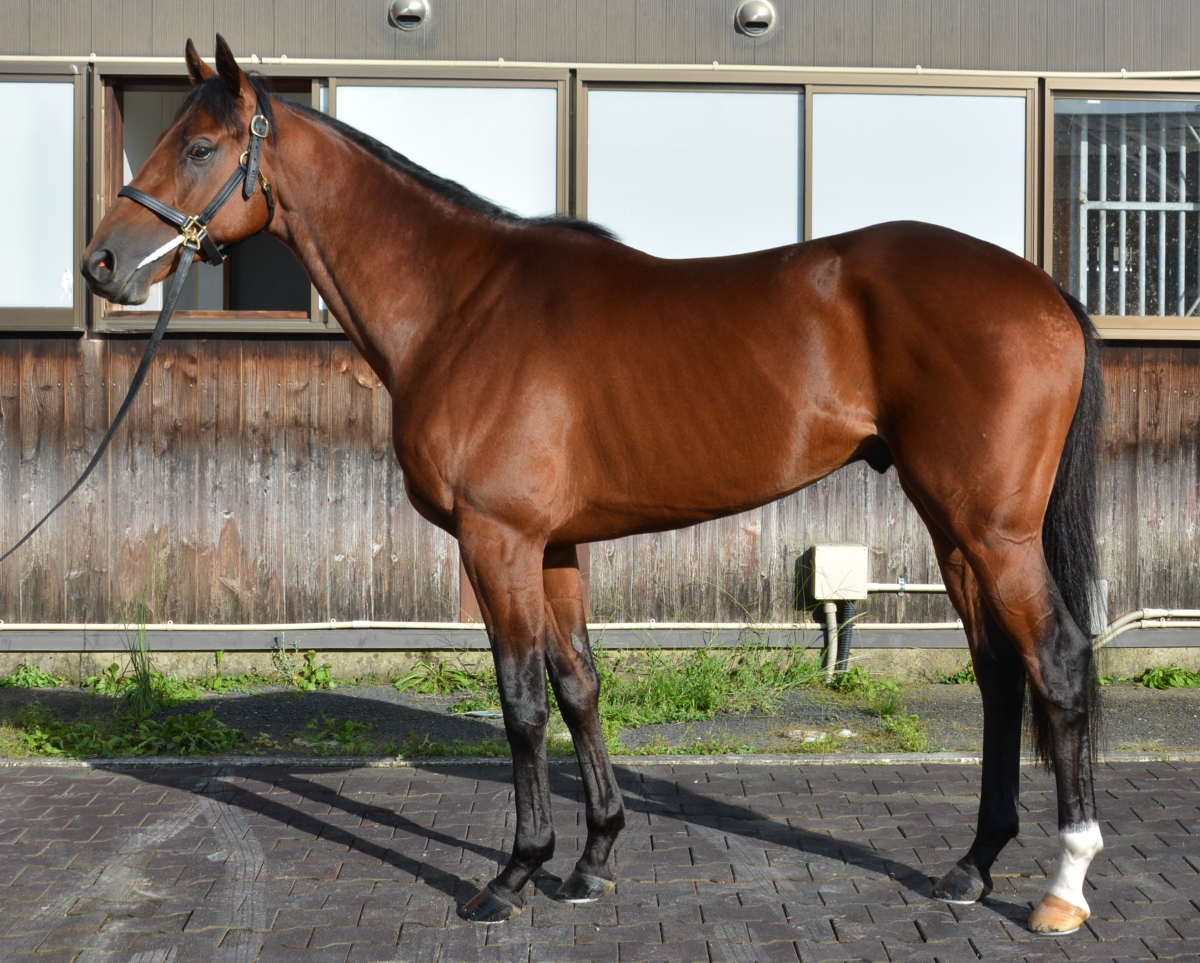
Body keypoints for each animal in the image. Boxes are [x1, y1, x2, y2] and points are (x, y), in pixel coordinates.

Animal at [82, 36, 1105, 934]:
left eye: (200, 146)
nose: (100, 264)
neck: (461, 305)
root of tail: (1045, 292)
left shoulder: (498, 539)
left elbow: (521, 701)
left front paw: (514, 873)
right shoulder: (557, 544)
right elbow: (580, 685)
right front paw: (593, 858)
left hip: (994, 530)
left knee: (1055, 660)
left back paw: (1063, 885)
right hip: (952, 524)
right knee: (999, 671)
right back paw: (973, 865)